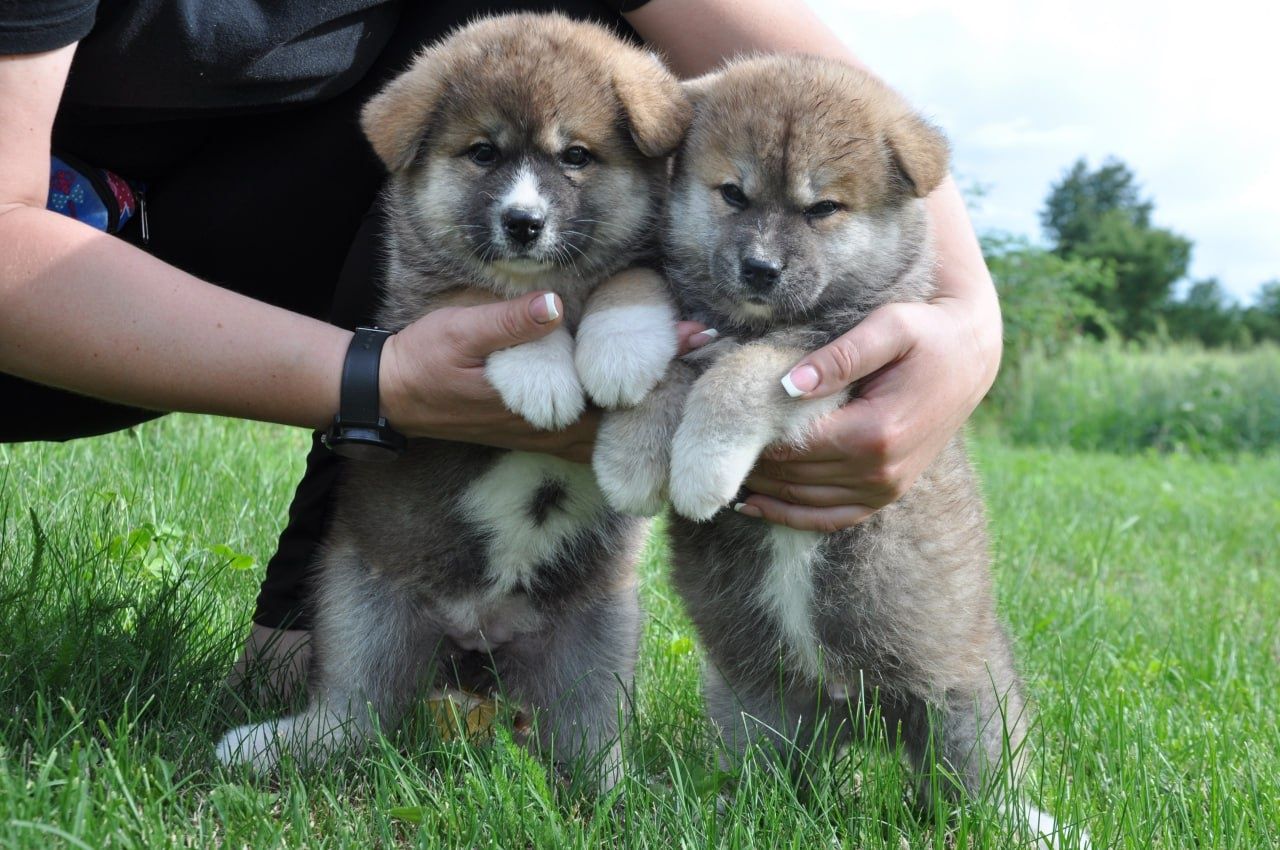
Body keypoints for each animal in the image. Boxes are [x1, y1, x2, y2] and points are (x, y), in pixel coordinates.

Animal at [221, 13, 701, 788]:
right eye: (482, 153)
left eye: (576, 156)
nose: (524, 222)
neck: (552, 287)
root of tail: (479, 637)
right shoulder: (417, 305)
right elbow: (481, 300)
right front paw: (542, 372)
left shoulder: (651, 268)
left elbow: (631, 282)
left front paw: (622, 350)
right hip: (359, 612)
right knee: (354, 717)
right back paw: (269, 746)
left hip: (600, 640)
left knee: (588, 746)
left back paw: (627, 792)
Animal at [593, 56, 1085, 844]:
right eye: (733, 194)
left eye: (822, 208)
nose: (760, 268)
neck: (753, 318)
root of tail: (858, 715)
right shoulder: (695, 329)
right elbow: (672, 372)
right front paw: (633, 455)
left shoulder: (830, 361)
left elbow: (739, 376)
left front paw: (700, 463)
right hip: (753, 705)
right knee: (776, 773)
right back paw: (736, 805)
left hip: (966, 707)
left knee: (977, 783)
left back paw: (1027, 824)